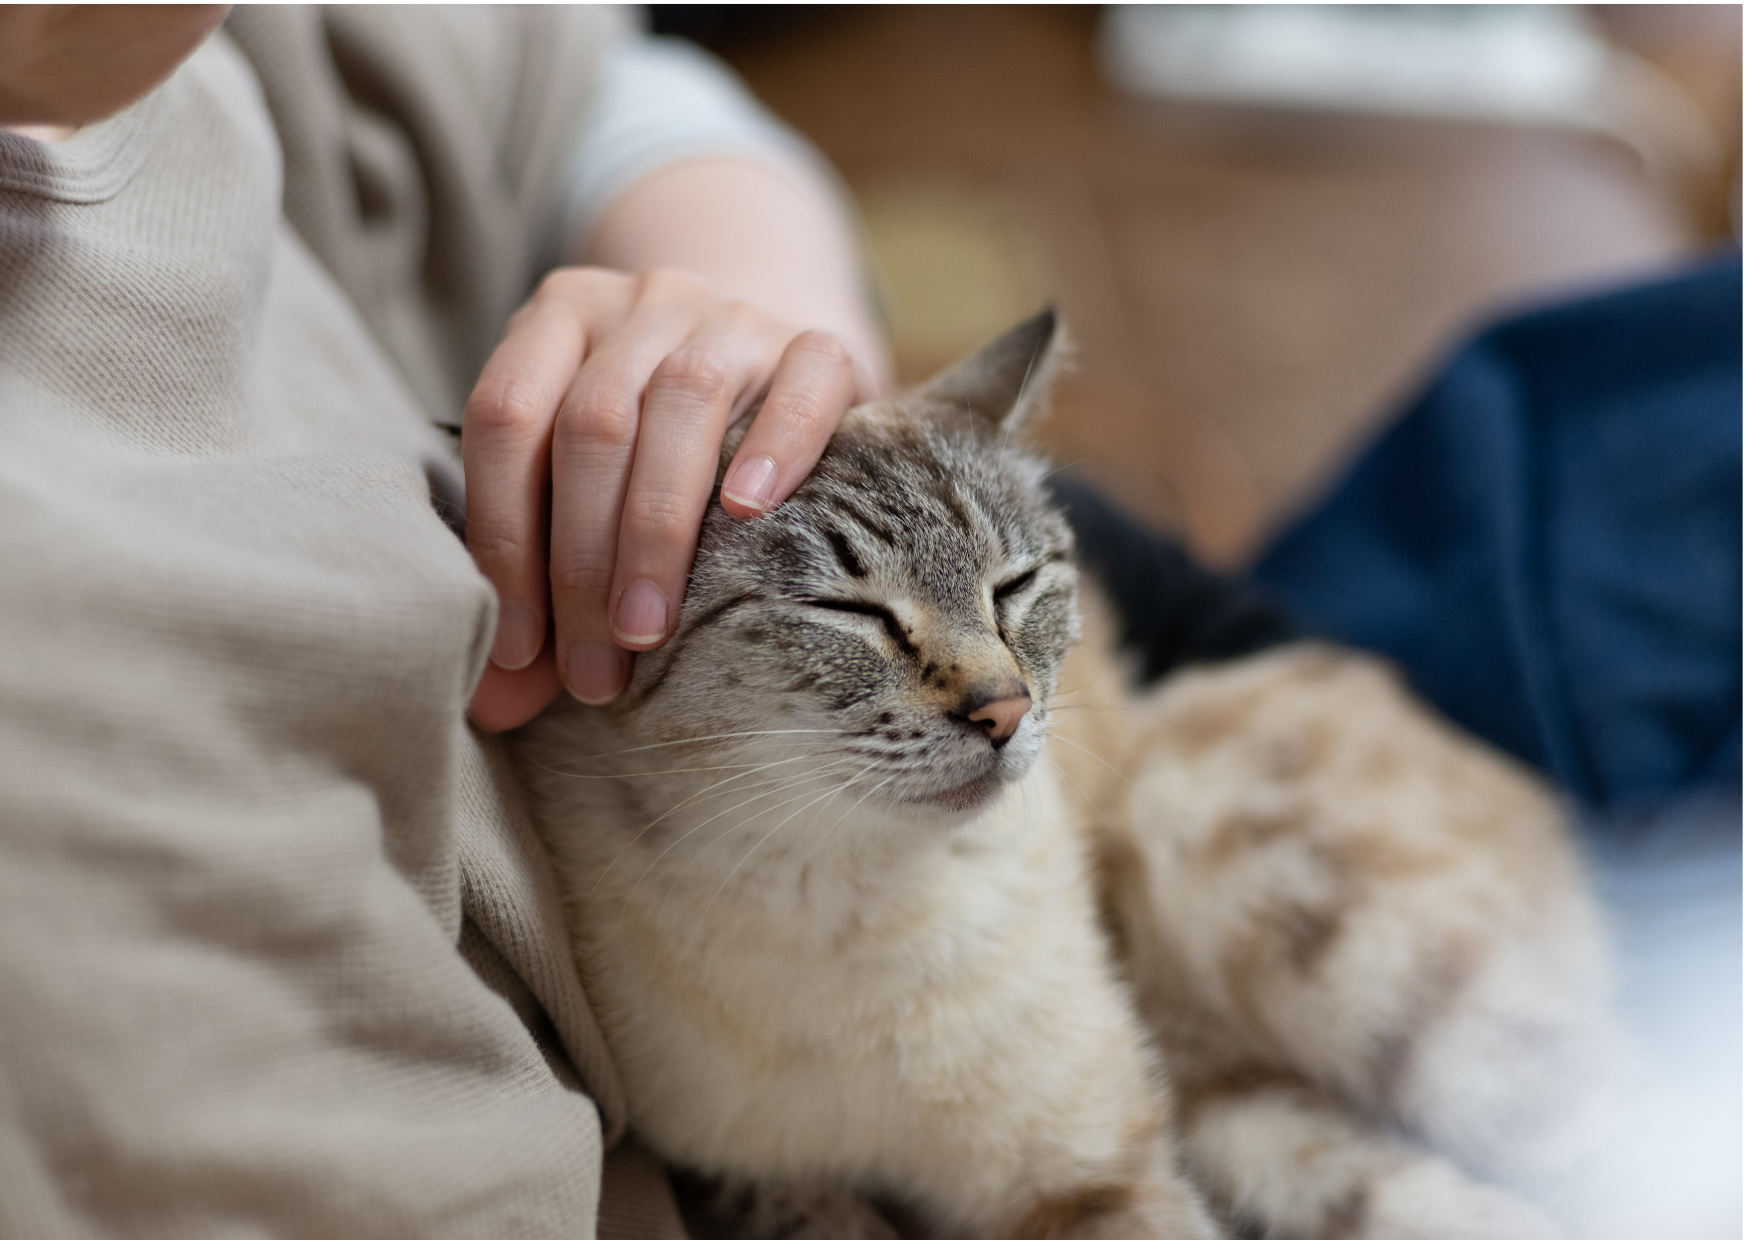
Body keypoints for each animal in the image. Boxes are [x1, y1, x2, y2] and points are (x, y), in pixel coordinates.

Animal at [510, 311, 1615, 1238]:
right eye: (849, 613)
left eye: (1014, 586)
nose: (1002, 711)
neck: (849, 895)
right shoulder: (754, 1184)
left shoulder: (1089, 1177)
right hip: (1240, 1102)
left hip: (1266, 899)